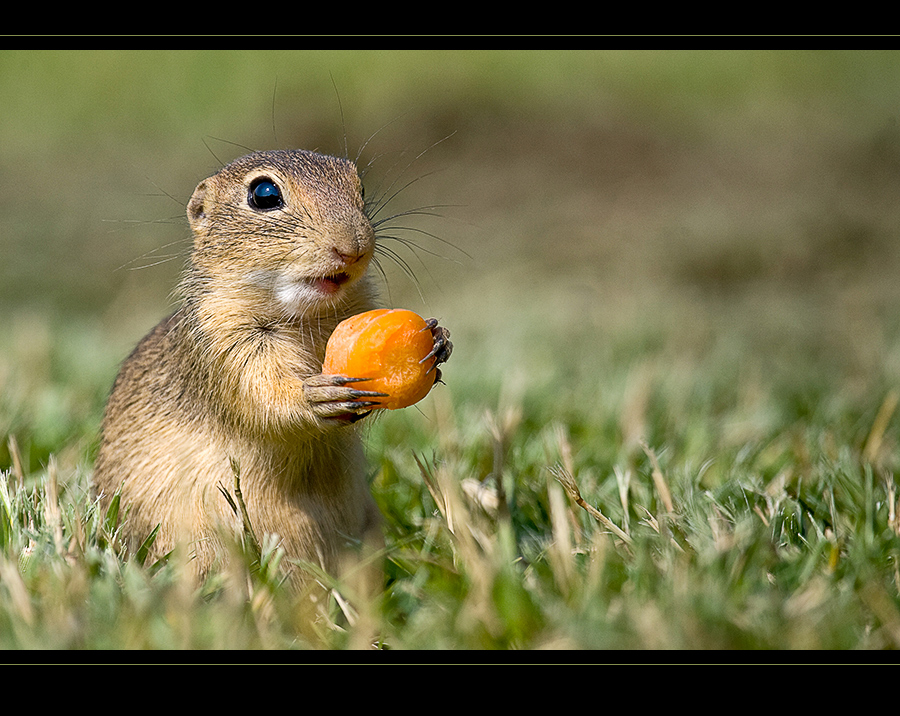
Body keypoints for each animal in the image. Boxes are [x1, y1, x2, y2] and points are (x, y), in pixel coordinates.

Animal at [93, 150, 450, 588]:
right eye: (264, 194)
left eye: (360, 187)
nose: (353, 248)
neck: (307, 317)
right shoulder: (225, 347)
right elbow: (264, 397)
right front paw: (316, 398)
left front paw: (439, 339)